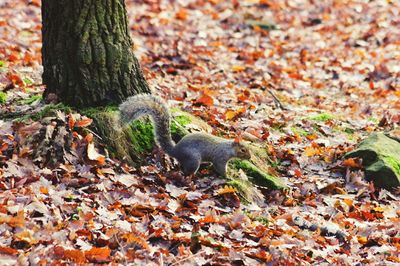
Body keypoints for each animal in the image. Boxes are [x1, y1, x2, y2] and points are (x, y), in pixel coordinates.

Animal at [119, 94, 250, 176]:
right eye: (243, 150)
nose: (249, 157)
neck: (228, 147)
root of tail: (176, 150)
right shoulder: (220, 157)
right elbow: (220, 167)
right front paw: (228, 176)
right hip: (193, 159)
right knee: (187, 171)